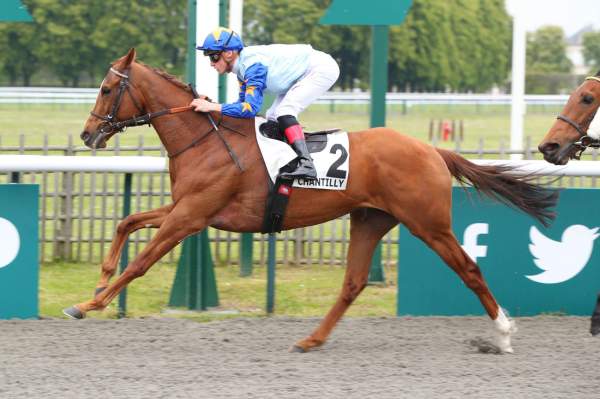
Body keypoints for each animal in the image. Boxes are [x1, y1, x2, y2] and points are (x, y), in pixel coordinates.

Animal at [65, 49, 556, 354]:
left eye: (107, 89)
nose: (88, 134)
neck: (205, 138)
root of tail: (432, 149)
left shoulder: (190, 216)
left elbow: (140, 262)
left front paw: (89, 304)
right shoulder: (186, 209)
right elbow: (127, 222)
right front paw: (99, 282)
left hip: (429, 223)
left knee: (469, 269)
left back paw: (503, 334)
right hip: (371, 219)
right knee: (353, 283)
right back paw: (312, 340)